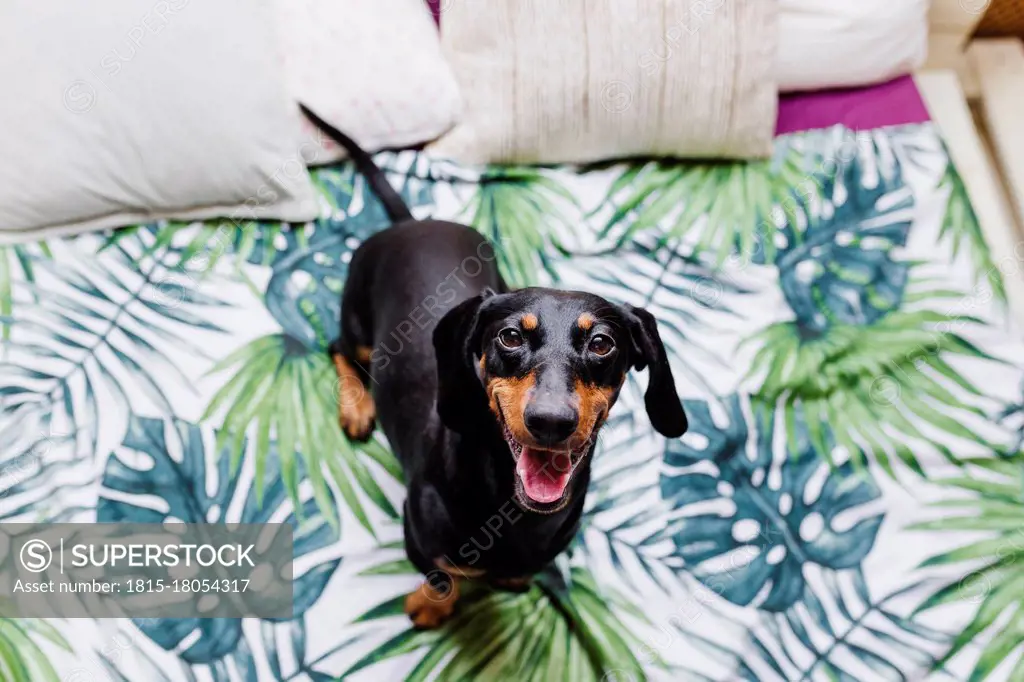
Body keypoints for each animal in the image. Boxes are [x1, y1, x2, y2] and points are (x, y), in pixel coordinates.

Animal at [303, 103, 688, 630]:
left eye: (602, 344)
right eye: (510, 336)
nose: (551, 421)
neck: (513, 511)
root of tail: (411, 222)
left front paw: (511, 580)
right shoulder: (418, 535)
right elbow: (442, 575)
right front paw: (431, 606)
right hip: (359, 323)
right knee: (339, 347)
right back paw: (357, 407)